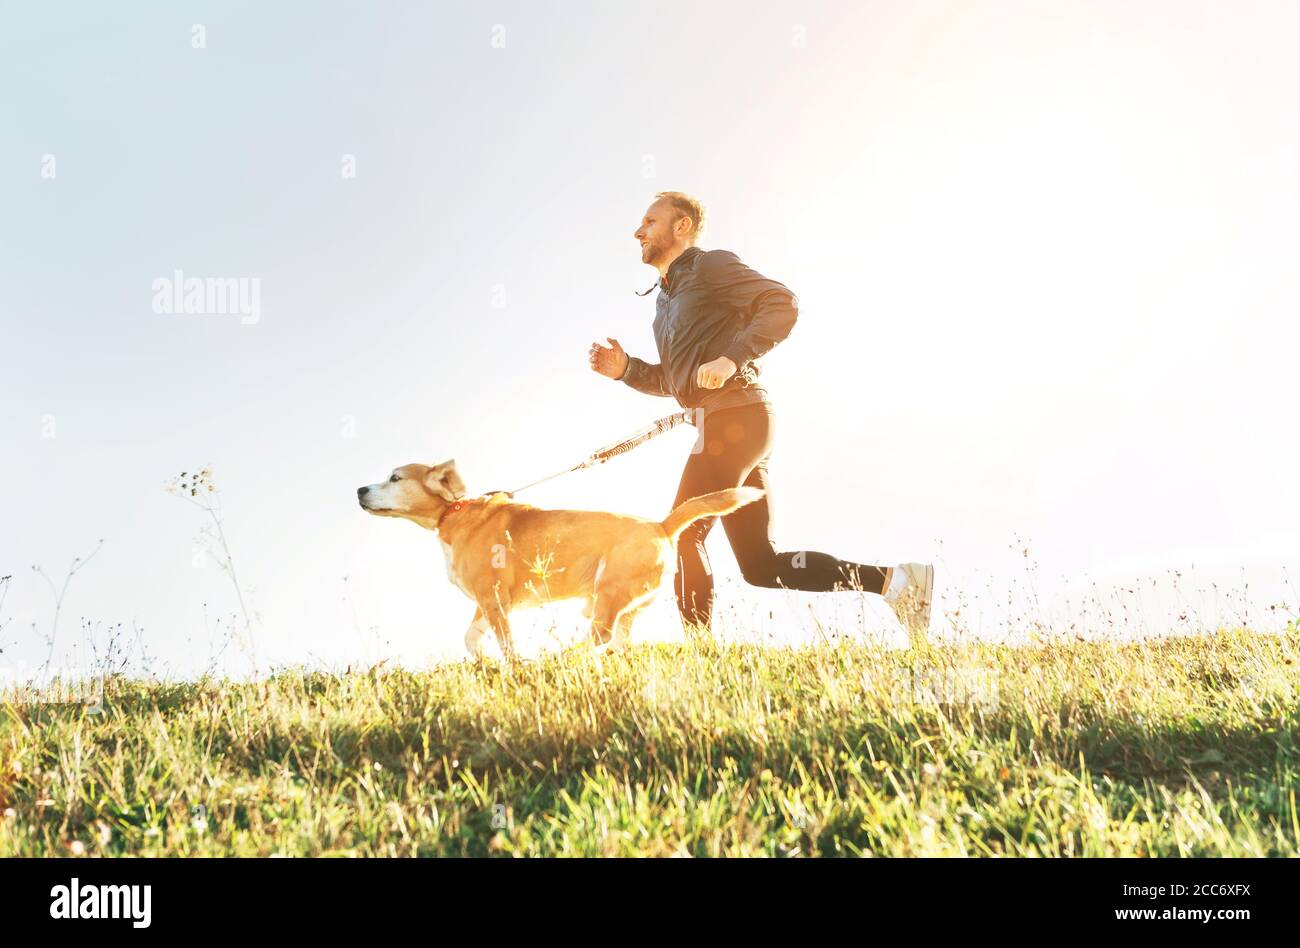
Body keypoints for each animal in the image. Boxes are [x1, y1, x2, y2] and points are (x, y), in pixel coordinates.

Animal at [356, 457, 759, 658]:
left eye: (395, 478)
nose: (359, 489)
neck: (453, 512)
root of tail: (661, 525)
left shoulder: (494, 600)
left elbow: (506, 645)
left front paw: (513, 667)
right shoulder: (486, 603)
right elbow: (470, 638)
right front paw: (483, 663)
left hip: (608, 591)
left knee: (599, 635)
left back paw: (563, 656)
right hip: (623, 603)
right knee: (616, 639)